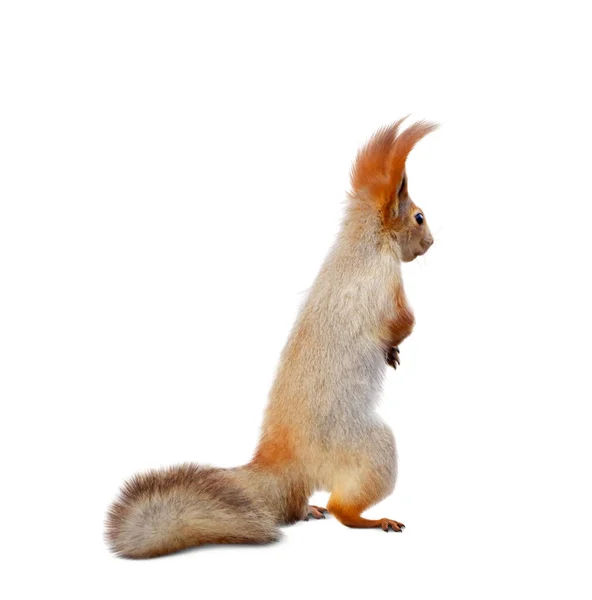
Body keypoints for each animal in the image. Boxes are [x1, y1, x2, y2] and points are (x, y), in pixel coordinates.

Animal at [106, 117, 438, 556]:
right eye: (418, 217)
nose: (433, 242)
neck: (362, 241)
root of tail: (281, 464)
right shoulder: (387, 284)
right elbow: (404, 322)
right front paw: (394, 350)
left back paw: (308, 509)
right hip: (371, 449)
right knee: (343, 509)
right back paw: (372, 519)